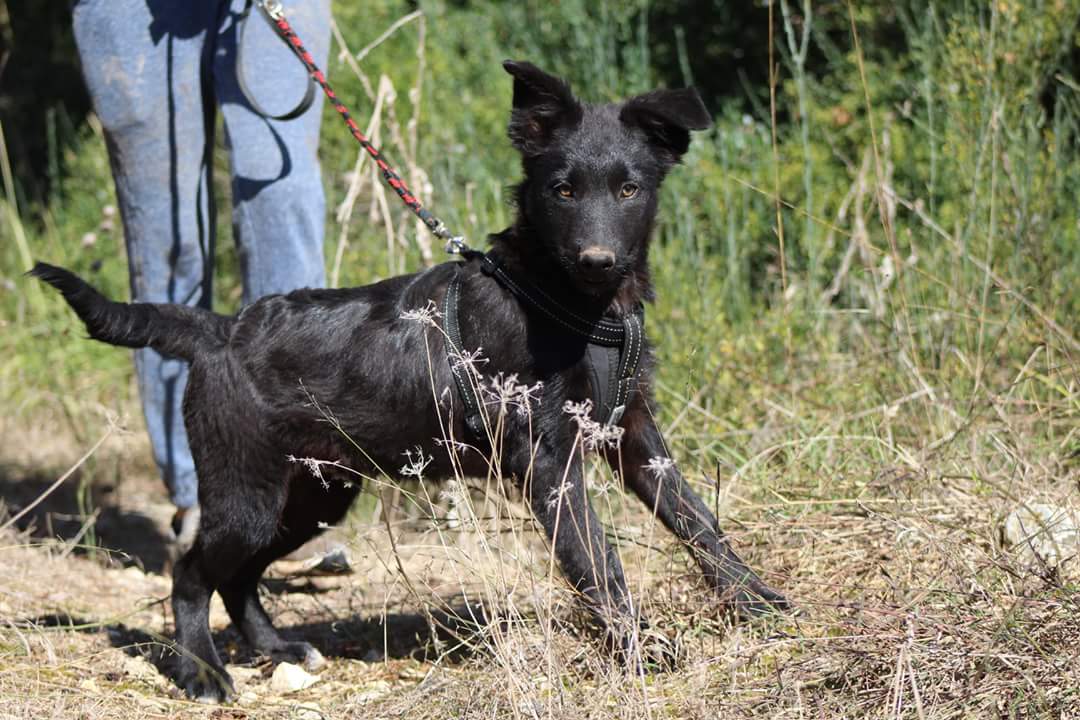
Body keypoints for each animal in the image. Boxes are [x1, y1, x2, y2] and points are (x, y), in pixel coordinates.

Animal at [33, 60, 788, 702]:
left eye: (629, 188)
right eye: (563, 190)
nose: (598, 260)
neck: (573, 305)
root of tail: (219, 330)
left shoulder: (633, 436)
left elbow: (698, 522)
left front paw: (758, 602)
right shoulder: (549, 462)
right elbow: (598, 562)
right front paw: (638, 652)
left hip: (312, 496)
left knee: (240, 577)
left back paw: (277, 649)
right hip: (246, 491)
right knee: (191, 575)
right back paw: (201, 672)